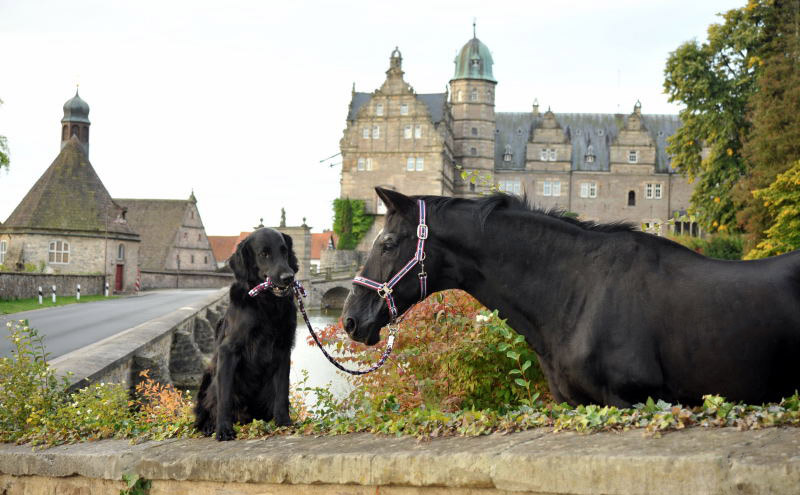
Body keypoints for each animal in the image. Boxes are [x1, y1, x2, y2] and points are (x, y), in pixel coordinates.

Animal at [195, 229, 298, 442]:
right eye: (264, 253)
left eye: (284, 251)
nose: (288, 277)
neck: (267, 304)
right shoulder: (229, 351)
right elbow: (224, 397)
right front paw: (223, 429)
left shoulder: (283, 349)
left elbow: (282, 391)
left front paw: (283, 421)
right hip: (208, 382)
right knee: (207, 408)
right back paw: (209, 426)